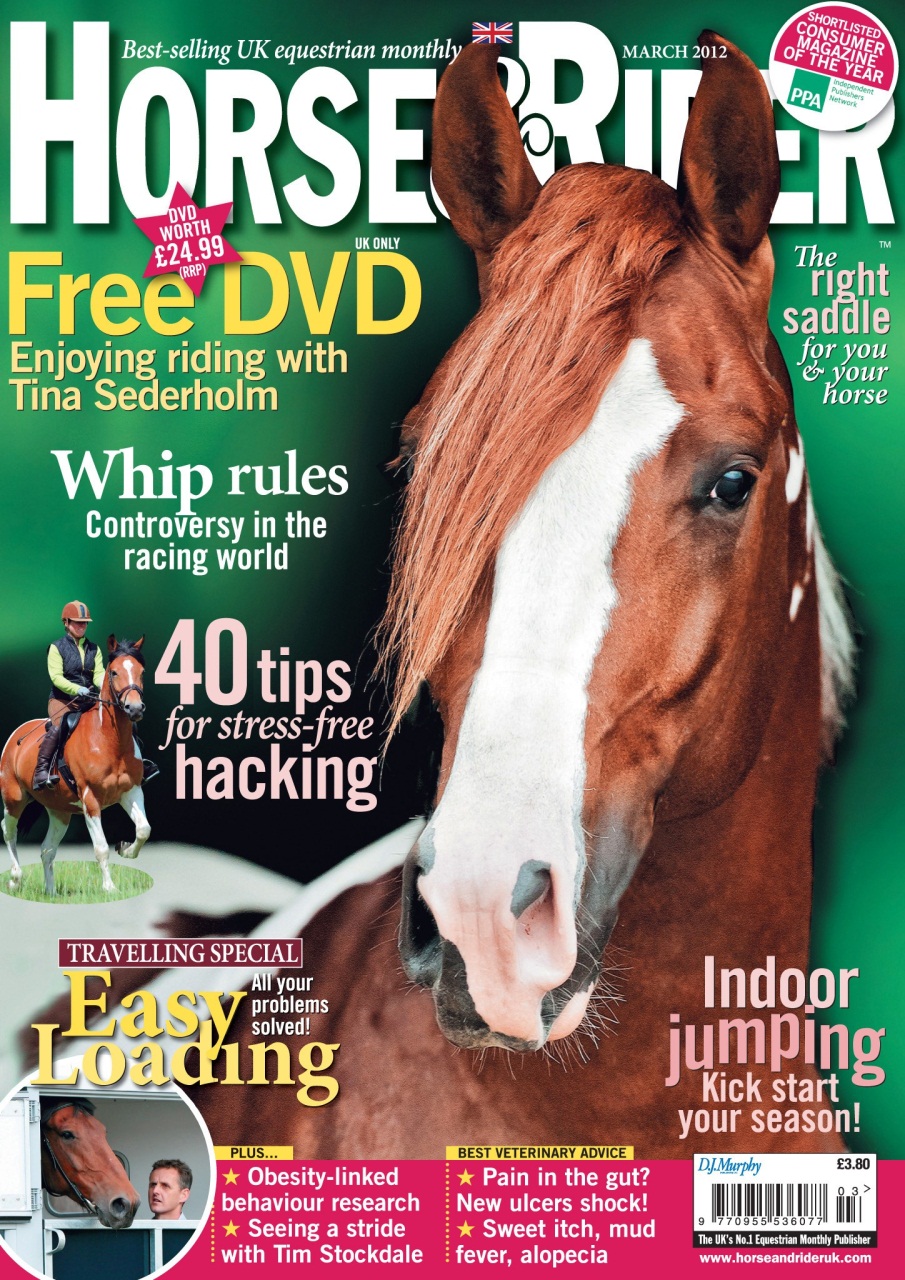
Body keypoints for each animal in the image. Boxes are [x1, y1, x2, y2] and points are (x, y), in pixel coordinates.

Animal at [1, 637, 151, 895]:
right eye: (114, 672)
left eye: (141, 671)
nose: (134, 708)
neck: (109, 741)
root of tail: (16, 735)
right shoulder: (90, 799)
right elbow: (101, 847)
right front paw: (109, 888)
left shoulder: (131, 791)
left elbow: (143, 829)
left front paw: (125, 848)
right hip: (14, 799)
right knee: (9, 830)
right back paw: (15, 879)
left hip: (59, 812)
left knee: (47, 850)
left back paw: (50, 893)